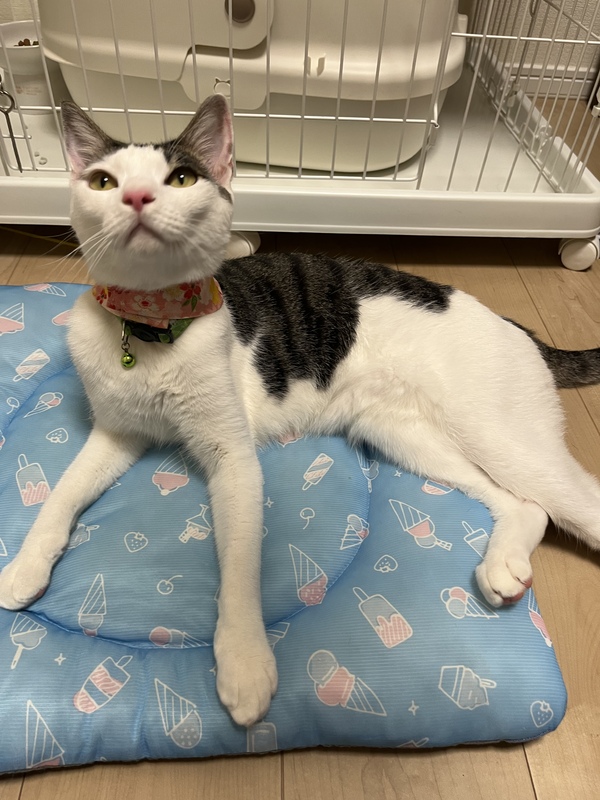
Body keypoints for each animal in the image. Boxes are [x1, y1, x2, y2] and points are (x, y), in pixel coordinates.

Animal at [1, 94, 600, 728]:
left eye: (181, 178)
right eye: (103, 181)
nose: (136, 197)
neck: (152, 323)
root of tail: (521, 328)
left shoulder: (232, 458)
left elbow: (240, 568)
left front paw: (244, 663)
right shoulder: (116, 434)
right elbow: (62, 493)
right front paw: (26, 564)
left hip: (499, 435)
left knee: (569, 498)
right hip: (407, 435)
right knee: (525, 506)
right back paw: (503, 565)